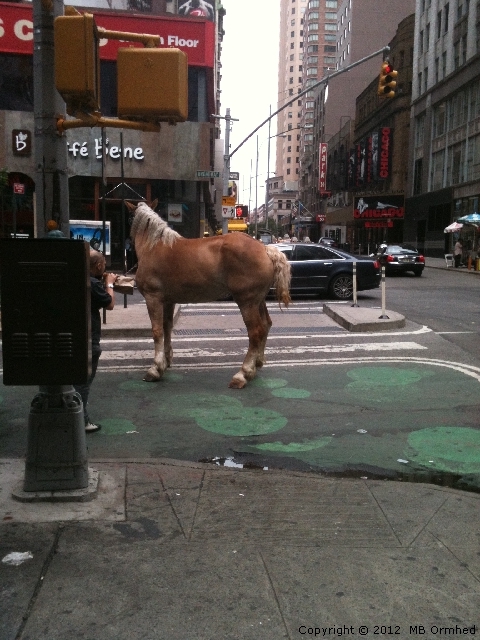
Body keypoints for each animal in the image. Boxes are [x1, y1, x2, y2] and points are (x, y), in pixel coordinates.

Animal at [125, 202, 290, 388]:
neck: (153, 246)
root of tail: (265, 248)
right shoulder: (168, 301)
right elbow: (167, 328)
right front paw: (166, 361)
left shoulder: (153, 298)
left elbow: (157, 331)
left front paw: (155, 368)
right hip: (258, 300)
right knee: (266, 324)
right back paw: (257, 363)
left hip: (246, 301)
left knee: (256, 331)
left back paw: (243, 373)